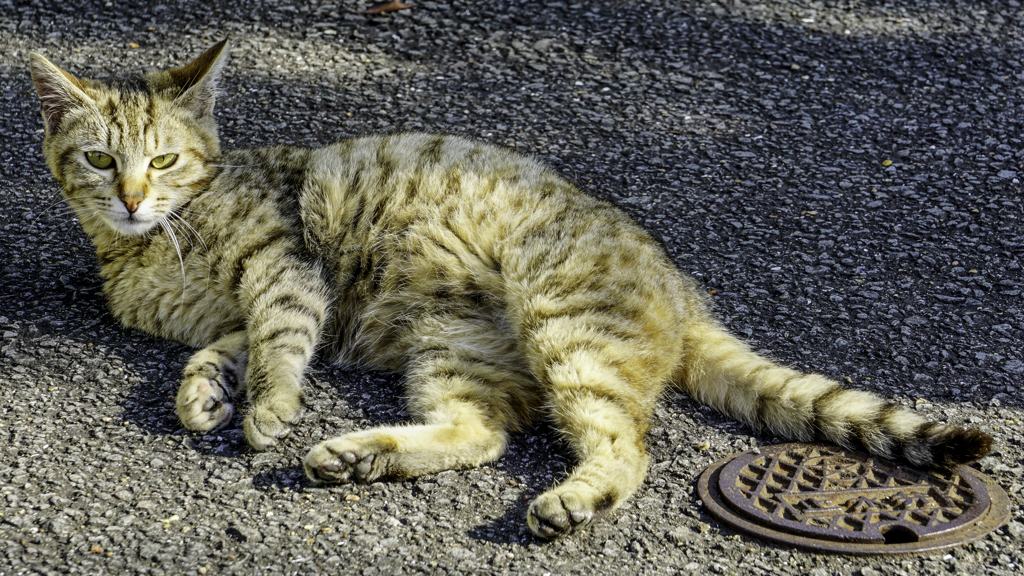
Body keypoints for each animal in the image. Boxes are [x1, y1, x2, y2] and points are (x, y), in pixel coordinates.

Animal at [29, 41, 991, 537]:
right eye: (101, 160)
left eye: (163, 161)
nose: (131, 197)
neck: (150, 249)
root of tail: (683, 290)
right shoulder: (246, 307)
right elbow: (217, 350)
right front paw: (202, 395)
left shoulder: (285, 264)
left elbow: (277, 338)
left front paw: (264, 406)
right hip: (455, 350)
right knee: (481, 433)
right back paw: (361, 454)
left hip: (562, 324)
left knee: (625, 448)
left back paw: (570, 500)